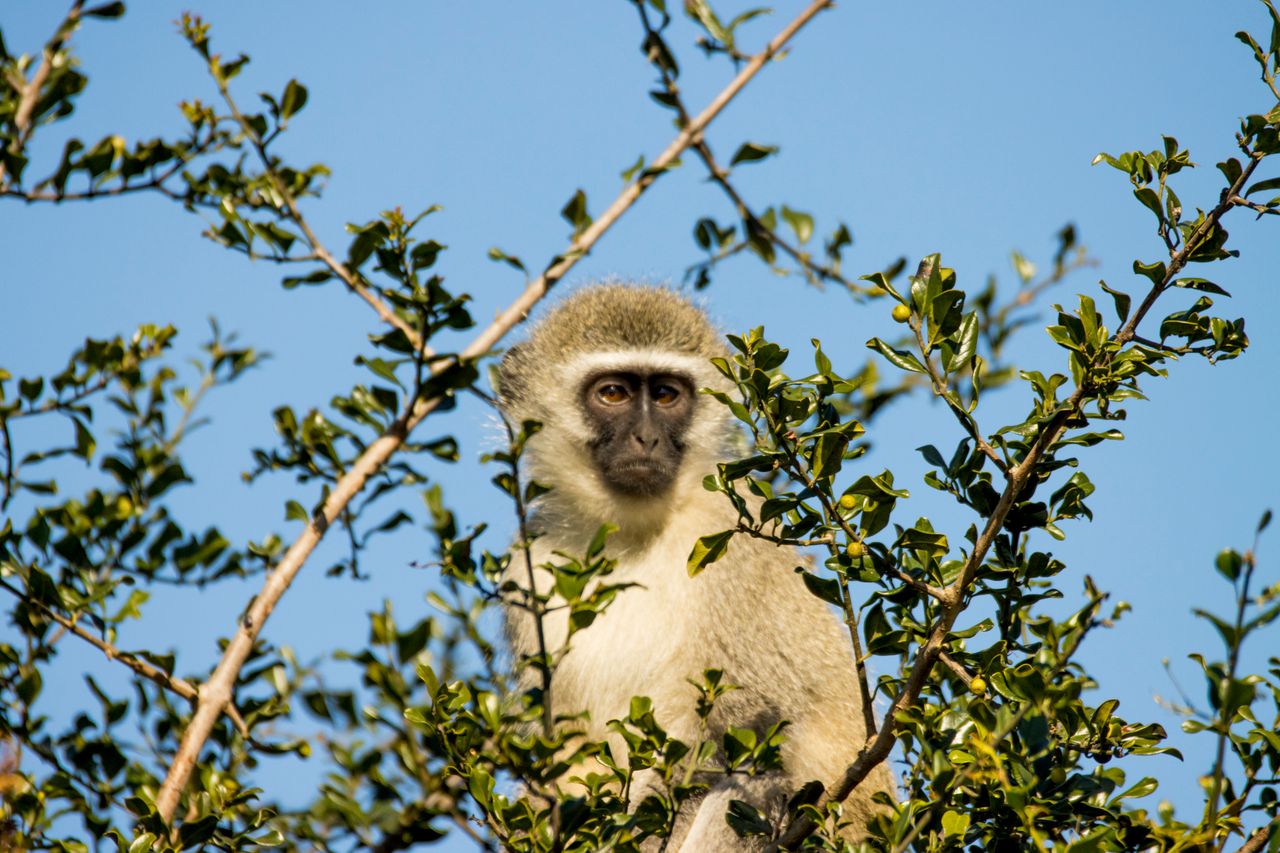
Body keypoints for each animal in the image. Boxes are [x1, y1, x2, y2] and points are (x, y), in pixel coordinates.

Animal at [497, 284, 893, 850]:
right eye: (613, 394)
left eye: (666, 396)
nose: (646, 438)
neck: (631, 534)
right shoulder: (528, 566)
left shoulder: (733, 542)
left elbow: (750, 728)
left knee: (758, 785)